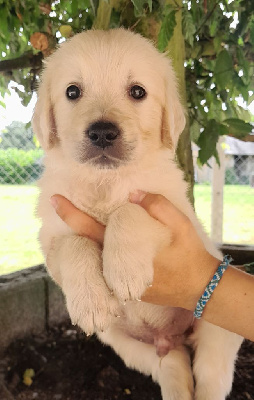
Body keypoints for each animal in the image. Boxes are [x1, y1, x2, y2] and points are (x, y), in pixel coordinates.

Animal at [32, 29, 243, 398]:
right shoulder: (51, 235)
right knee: (172, 367)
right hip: (126, 344)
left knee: (209, 378)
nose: (102, 132)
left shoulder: (174, 211)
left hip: (217, 331)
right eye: (72, 91)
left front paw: (124, 270)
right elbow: (73, 244)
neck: (106, 182)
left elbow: (130, 209)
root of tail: (169, 337)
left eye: (137, 92)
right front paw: (92, 301)